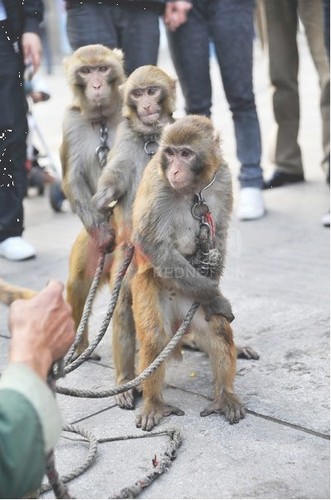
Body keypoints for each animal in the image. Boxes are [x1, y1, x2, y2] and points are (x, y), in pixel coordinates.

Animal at [130, 115, 246, 432]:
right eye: (169, 153)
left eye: (186, 153)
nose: (174, 169)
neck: (193, 189)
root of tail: (179, 317)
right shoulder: (157, 183)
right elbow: (151, 242)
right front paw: (213, 294)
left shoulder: (223, 178)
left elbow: (220, 233)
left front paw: (213, 289)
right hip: (148, 289)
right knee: (155, 338)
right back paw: (154, 402)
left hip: (192, 308)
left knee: (218, 331)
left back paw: (224, 396)